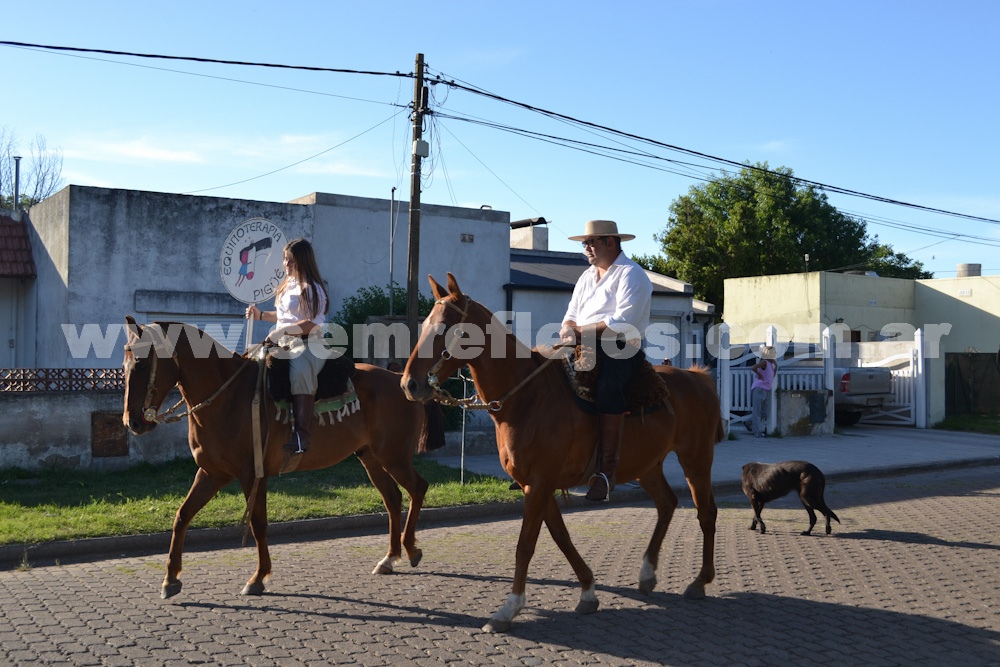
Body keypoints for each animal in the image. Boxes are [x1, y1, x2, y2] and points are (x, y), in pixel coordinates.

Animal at [121, 318, 442, 600]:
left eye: (142, 364)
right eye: (124, 367)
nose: (132, 422)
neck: (228, 397)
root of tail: (400, 380)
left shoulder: (252, 475)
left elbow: (258, 524)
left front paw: (258, 578)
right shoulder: (212, 473)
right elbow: (182, 516)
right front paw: (171, 579)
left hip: (394, 457)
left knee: (418, 488)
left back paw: (411, 549)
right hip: (372, 458)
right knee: (393, 498)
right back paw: (389, 558)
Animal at [402, 274, 724, 636]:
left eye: (446, 327)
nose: (410, 384)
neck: (527, 399)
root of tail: (697, 378)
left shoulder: (540, 484)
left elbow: (526, 544)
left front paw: (509, 609)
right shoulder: (535, 485)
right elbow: (560, 536)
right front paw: (588, 592)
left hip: (696, 459)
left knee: (706, 512)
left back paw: (699, 581)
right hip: (648, 466)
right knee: (667, 504)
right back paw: (647, 574)